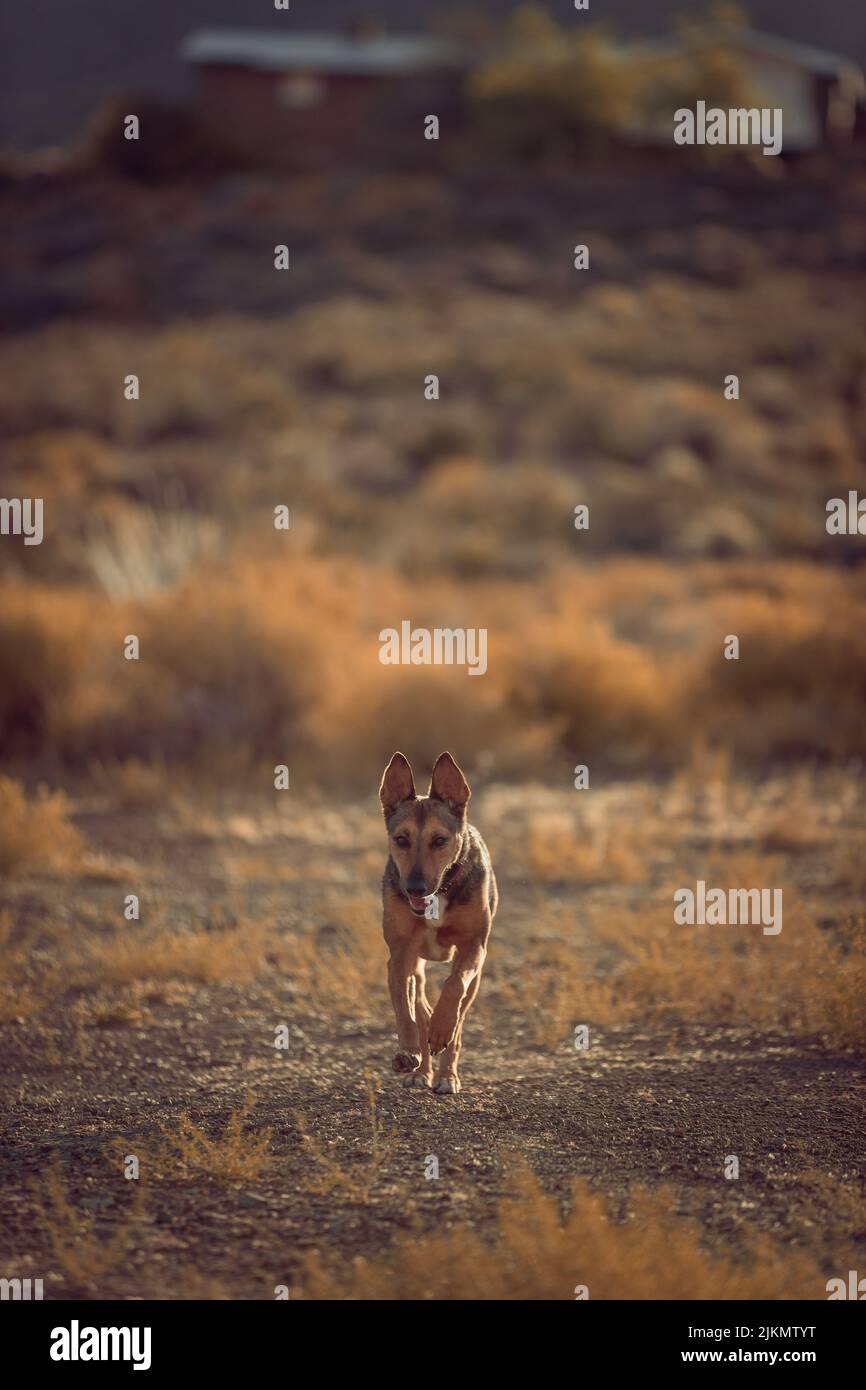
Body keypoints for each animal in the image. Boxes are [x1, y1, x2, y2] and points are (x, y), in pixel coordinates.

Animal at [378, 756, 497, 1089]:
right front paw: (408, 1051)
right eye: (401, 839)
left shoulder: (473, 947)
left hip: (476, 975)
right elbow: (404, 1008)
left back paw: (446, 1075)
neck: (440, 891)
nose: (415, 888)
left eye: (440, 840)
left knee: (458, 1018)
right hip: (416, 966)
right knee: (420, 1006)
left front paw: (443, 1027)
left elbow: (454, 986)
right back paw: (422, 1070)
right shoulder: (400, 955)